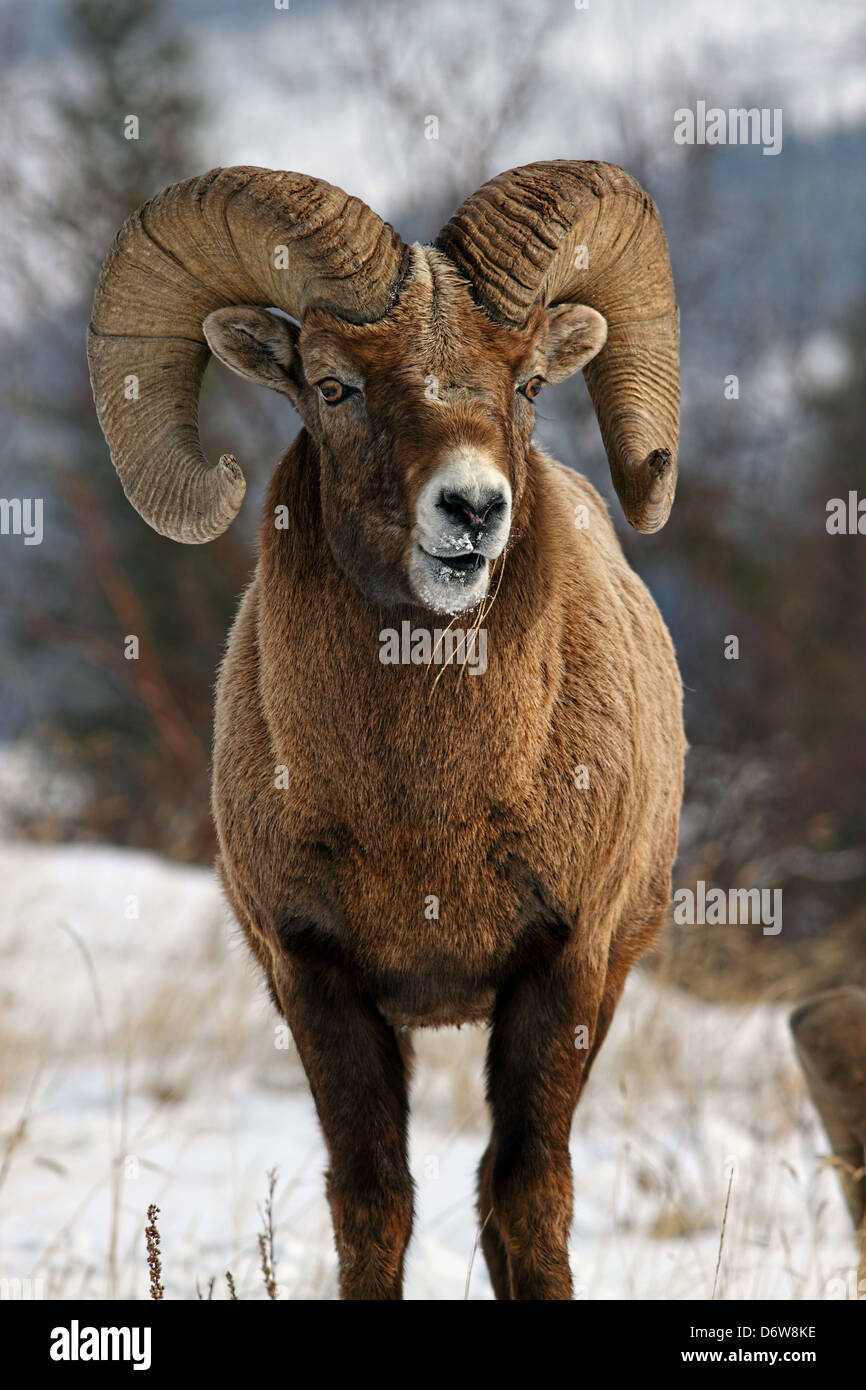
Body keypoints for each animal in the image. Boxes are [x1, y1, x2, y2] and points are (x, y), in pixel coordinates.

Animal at [88, 165, 683, 1301]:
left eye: (528, 385)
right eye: (333, 387)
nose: (471, 510)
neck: (424, 819)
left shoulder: (566, 970)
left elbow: (528, 1197)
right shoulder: (316, 981)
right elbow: (372, 1202)